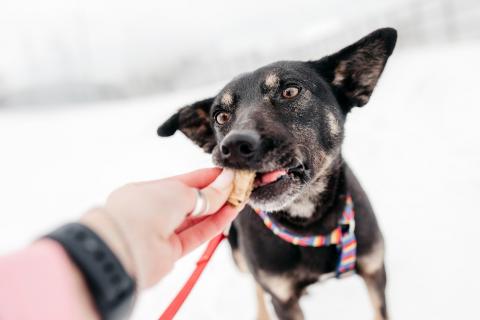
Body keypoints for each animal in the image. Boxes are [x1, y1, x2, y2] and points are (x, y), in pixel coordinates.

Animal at [158, 28, 398, 320]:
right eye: (221, 117)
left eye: (290, 91)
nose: (233, 147)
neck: (309, 222)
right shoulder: (282, 299)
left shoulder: (375, 272)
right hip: (239, 257)